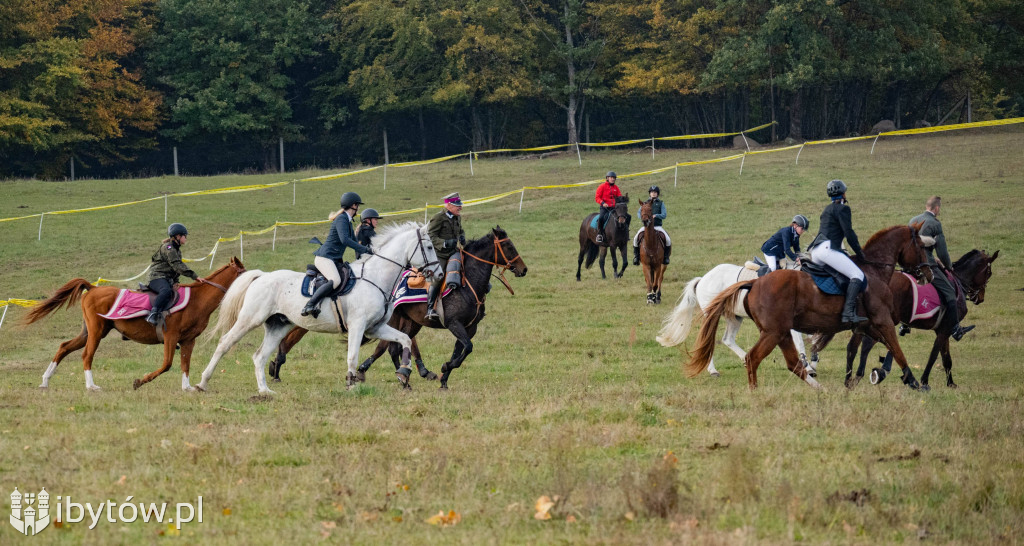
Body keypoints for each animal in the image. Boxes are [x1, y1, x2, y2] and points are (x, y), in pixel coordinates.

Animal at [23, 256, 246, 389]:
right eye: (244, 272)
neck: (197, 300)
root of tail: (93, 288)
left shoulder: (188, 340)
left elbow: (185, 364)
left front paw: (187, 388)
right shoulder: (170, 337)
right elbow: (167, 364)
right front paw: (140, 381)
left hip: (89, 332)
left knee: (64, 347)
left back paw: (45, 381)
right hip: (96, 331)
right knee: (87, 355)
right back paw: (91, 386)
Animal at [197, 222, 442, 395]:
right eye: (429, 247)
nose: (439, 274)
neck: (376, 277)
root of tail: (262, 276)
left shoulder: (376, 327)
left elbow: (404, 340)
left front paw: (404, 373)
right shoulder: (358, 325)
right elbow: (352, 356)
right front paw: (352, 384)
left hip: (278, 326)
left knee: (259, 356)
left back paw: (265, 390)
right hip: (250, 319)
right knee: (225, 343)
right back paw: (202, 383)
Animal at [655, 260, 815, 374]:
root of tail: (703, 279)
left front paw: (811, 365)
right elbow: (800, 342)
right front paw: (808, 368)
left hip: (735, 317)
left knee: (728, 339)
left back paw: (745, 359)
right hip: (712, 315)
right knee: (708, 339)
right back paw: (713, 370)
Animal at [684, 223, 933, 389]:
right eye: (922, 246)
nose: (928, 274)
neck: (872, 271)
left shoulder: (866, 325)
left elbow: (869, 348)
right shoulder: (881, 321)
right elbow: (895, 348)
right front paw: (912, 380)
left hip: (747, 321)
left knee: (731, 342)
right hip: (756, 325)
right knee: (730, 347)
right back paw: (719, 371)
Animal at [831, 248, 999, 389]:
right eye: (989, 273)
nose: (980, 298)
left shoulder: (941, 330)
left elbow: (946, 359)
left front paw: (950, 383)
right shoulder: (945, 329)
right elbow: (935, 355)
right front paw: (925, 380)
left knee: (854, 347)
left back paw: (852, 379)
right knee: (865, 345)